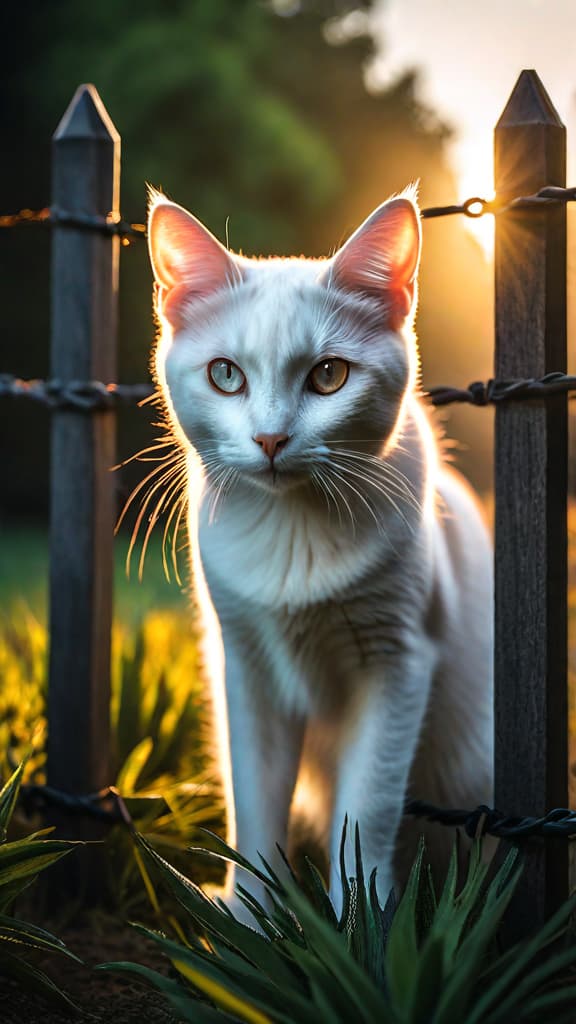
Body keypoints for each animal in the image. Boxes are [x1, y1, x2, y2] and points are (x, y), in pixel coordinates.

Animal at [145, 186, 491, 913]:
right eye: (225, 375)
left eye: (329, 375)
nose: (271, 439)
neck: (294, 531)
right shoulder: (247, 669)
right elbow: (255, 805)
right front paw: (250, 921)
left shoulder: (398, 662)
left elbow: (367, 809)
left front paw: (360, 925)